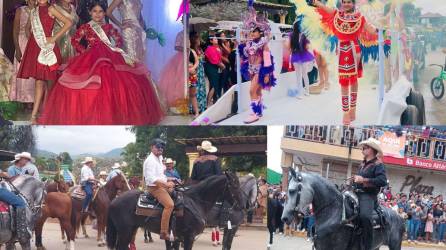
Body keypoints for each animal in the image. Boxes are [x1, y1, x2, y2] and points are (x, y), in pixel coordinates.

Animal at [106, 172, 242, 250]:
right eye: (235, 185)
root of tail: (113, 201)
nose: (240, 205)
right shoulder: (189, 236)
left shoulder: (177, 238)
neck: (195, 201)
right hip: (125, 232)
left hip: (130, 230)